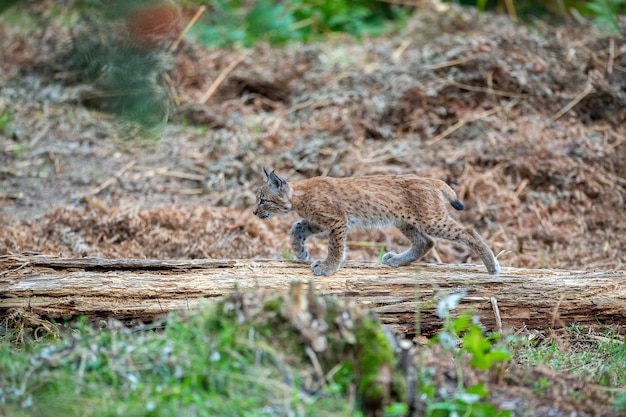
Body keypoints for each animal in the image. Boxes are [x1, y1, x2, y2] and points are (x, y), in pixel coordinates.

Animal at [251, 166, 500, 276]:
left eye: (263, 200)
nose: (254, 213)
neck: (298, 196)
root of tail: (430, 179)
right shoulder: (318, 221)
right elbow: (297, 227)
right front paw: (300, 252)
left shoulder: (337, 220)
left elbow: (335, 246)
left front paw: (328, 267)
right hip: (404, 221)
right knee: (426, 242)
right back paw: (398, 260)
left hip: (431, 219)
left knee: (468, 231)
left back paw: (492, 266)